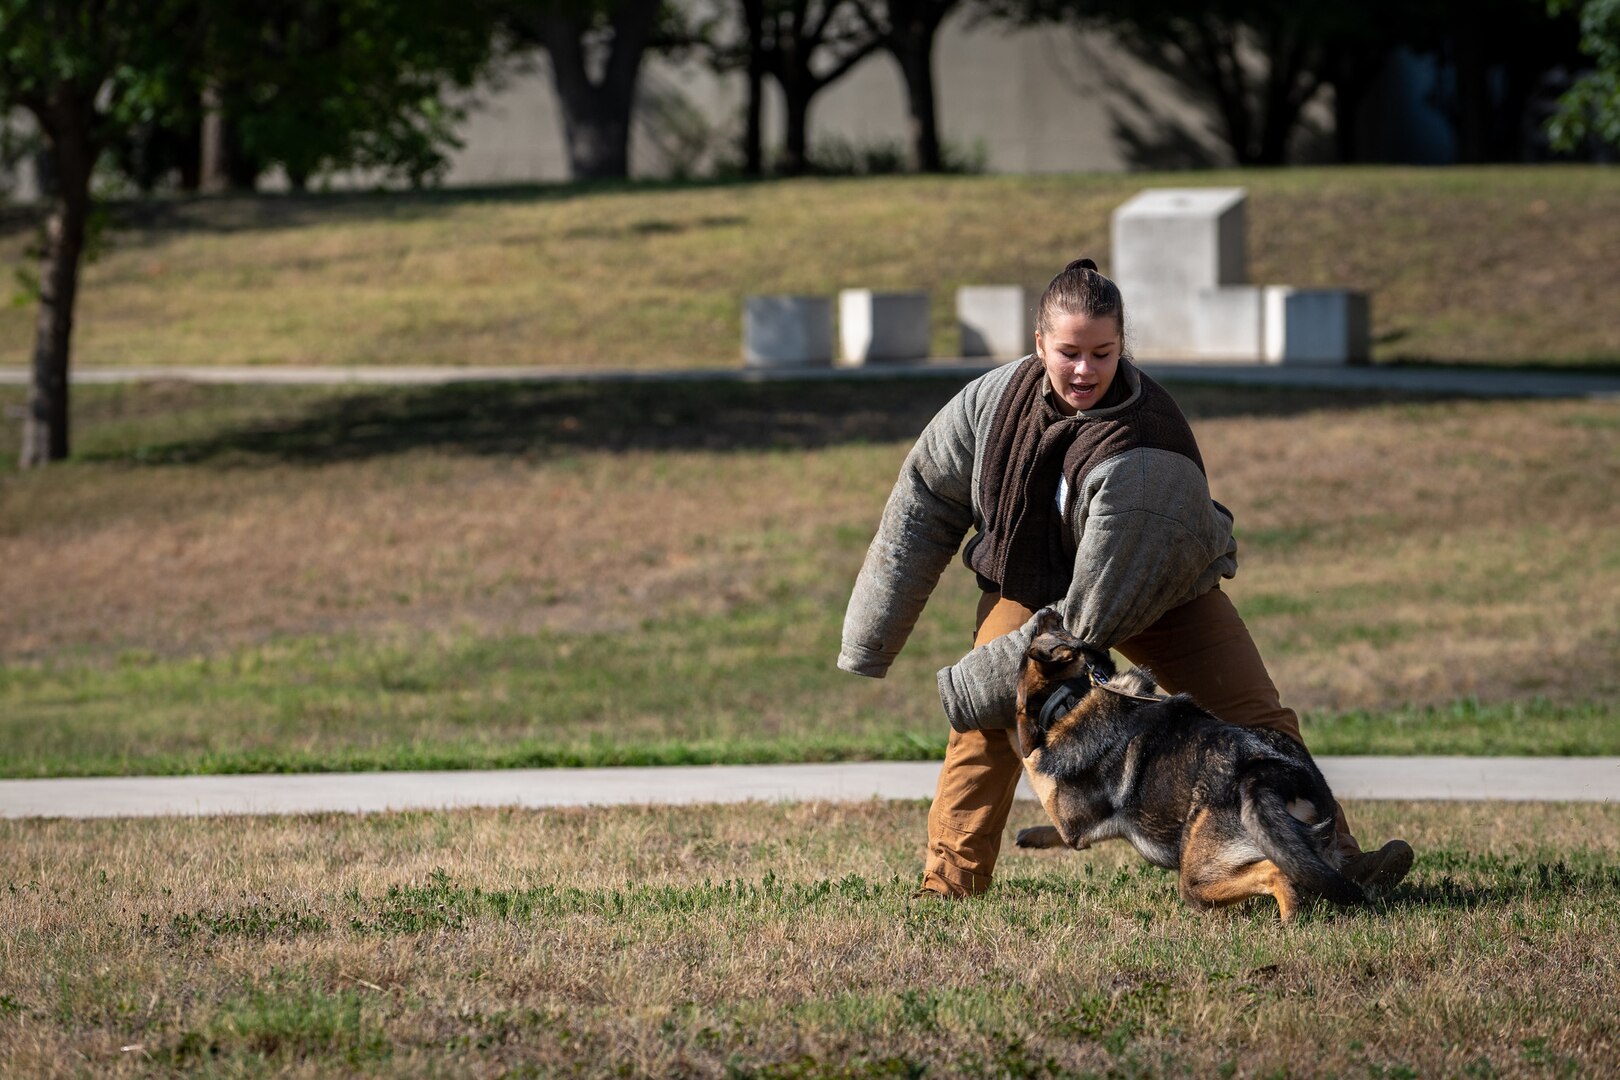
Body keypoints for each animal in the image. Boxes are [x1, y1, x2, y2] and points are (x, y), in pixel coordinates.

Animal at [1017, 608, 1360, 919]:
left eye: (1045, 631)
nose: (1049, 610)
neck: (1079, 696)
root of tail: (1272, 772)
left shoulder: (1070, 822)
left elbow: (1029, 757)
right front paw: (1031, 837)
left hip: (1197, 875)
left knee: (1274, 873)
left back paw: (1289, 922)